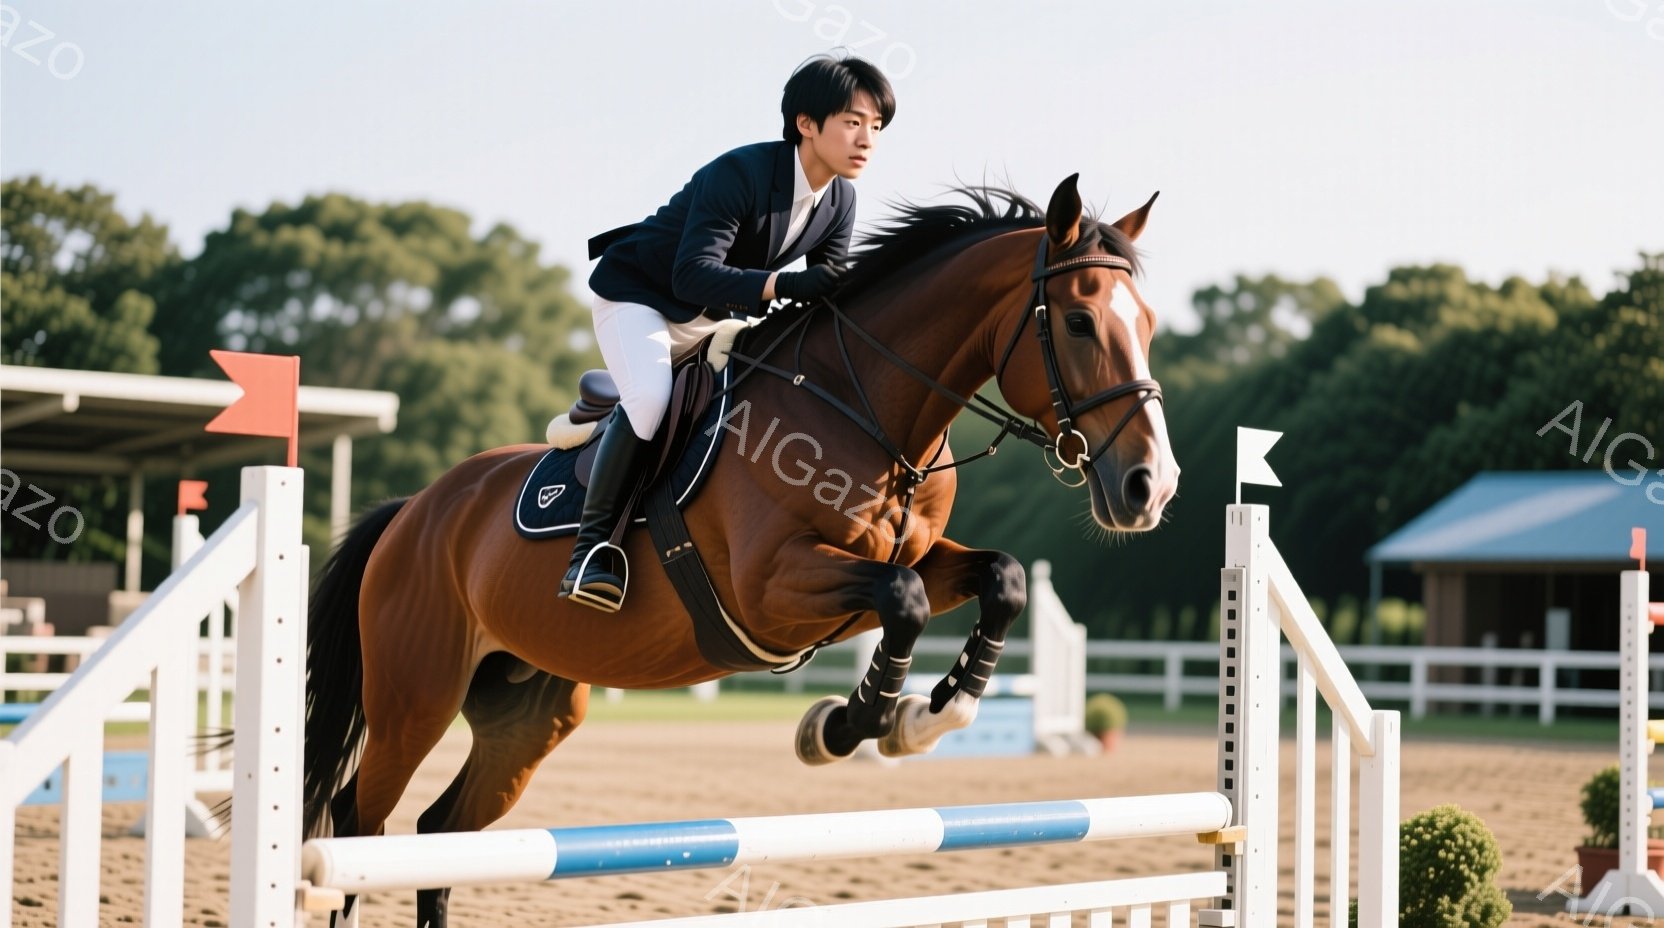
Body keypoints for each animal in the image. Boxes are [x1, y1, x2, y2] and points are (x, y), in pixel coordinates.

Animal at [301, 174, 1178, 927]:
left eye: (1149, 326)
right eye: (1078, 322)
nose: (1151, 486)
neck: (864, 407)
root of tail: (415, 509)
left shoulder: (911, 558)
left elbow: (1001, 579)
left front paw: (929, 717)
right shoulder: (772, 590)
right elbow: (902, 598)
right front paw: (845, 727)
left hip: (527, 713)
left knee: (440, 833)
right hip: (415, 696)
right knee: (358, 822)